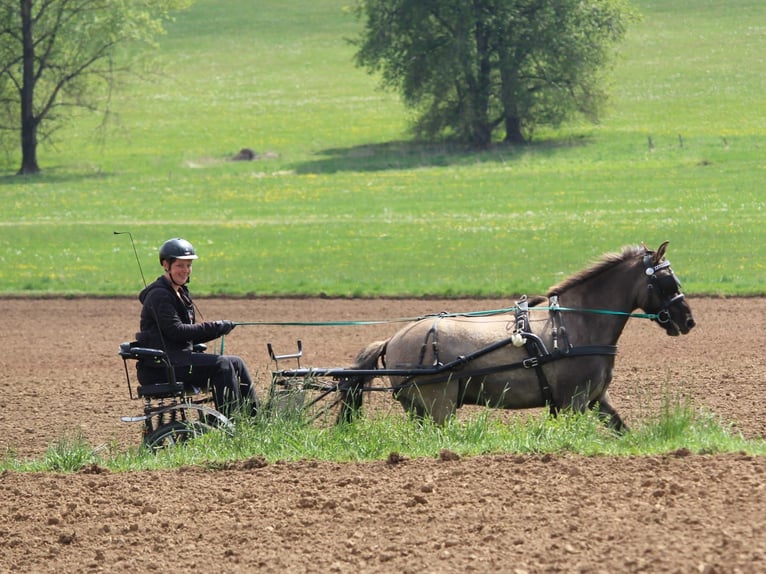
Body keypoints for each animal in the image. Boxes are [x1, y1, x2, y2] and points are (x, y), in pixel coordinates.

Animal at [342, 241, 696, 434]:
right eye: (667, 281)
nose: (688, 320)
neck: (577, 321)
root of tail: (391, 340)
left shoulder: (596, 398)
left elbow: (622, 429)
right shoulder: (574, 401)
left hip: (419, 409)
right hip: (438, 405)